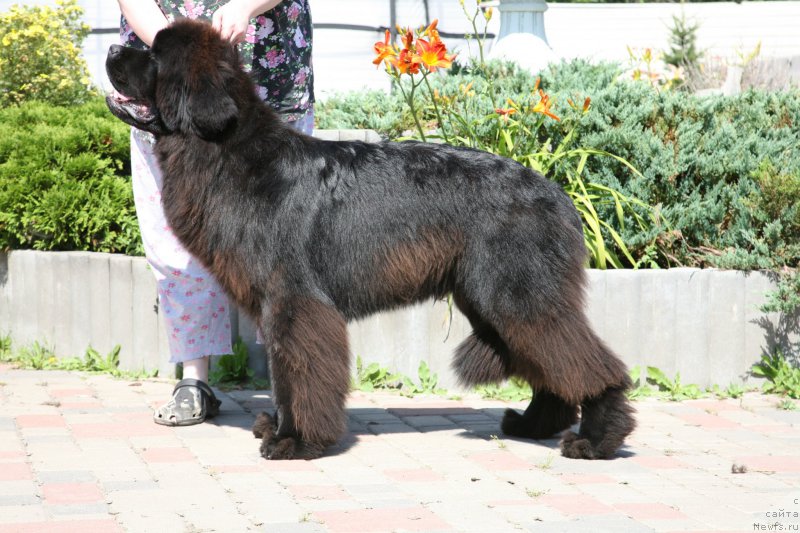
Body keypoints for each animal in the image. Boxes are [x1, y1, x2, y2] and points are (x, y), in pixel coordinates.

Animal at [106, 18, 636, 460]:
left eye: (154, 54)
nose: (111, 46)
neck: (227, 151)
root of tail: (558, 193)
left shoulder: (295, 302)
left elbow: (299, 373)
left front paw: (295, 441)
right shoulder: (279, 306)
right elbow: (283, 375)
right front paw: (277, 427)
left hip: (515, 294)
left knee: (583, 361)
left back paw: (597, 440)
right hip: (492, 298)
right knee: (552, 362)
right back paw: (534, 425)